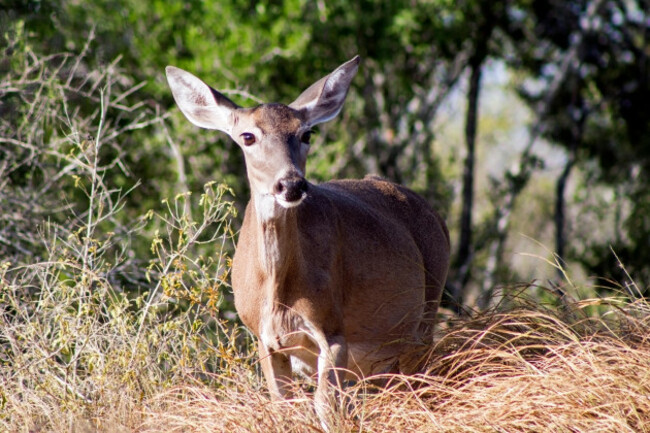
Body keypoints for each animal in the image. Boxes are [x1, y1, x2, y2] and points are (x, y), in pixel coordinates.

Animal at [165, 56, 450, 426]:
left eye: (306, 133)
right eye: (248, 136)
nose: (291, 184)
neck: (278, 292)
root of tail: (437, 216)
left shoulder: (333, 330)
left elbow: (326, 407)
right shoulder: (265, 339)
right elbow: (282, 406)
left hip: (423, 320)